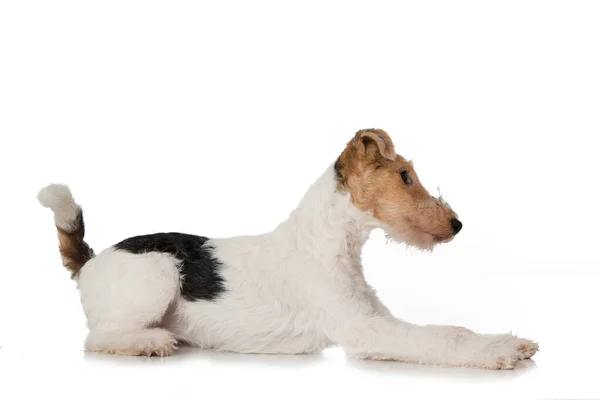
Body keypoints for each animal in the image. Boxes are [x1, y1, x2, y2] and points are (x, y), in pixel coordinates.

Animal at [37, 130, 536, 370]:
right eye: (405, 176)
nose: (457, 224)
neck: (328, 243)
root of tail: (92, 260)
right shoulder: (366, 331)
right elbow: (444, 335)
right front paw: (502, 351)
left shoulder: (375, 317)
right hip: (157, 273)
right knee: (98, 337)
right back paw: (151, 342)